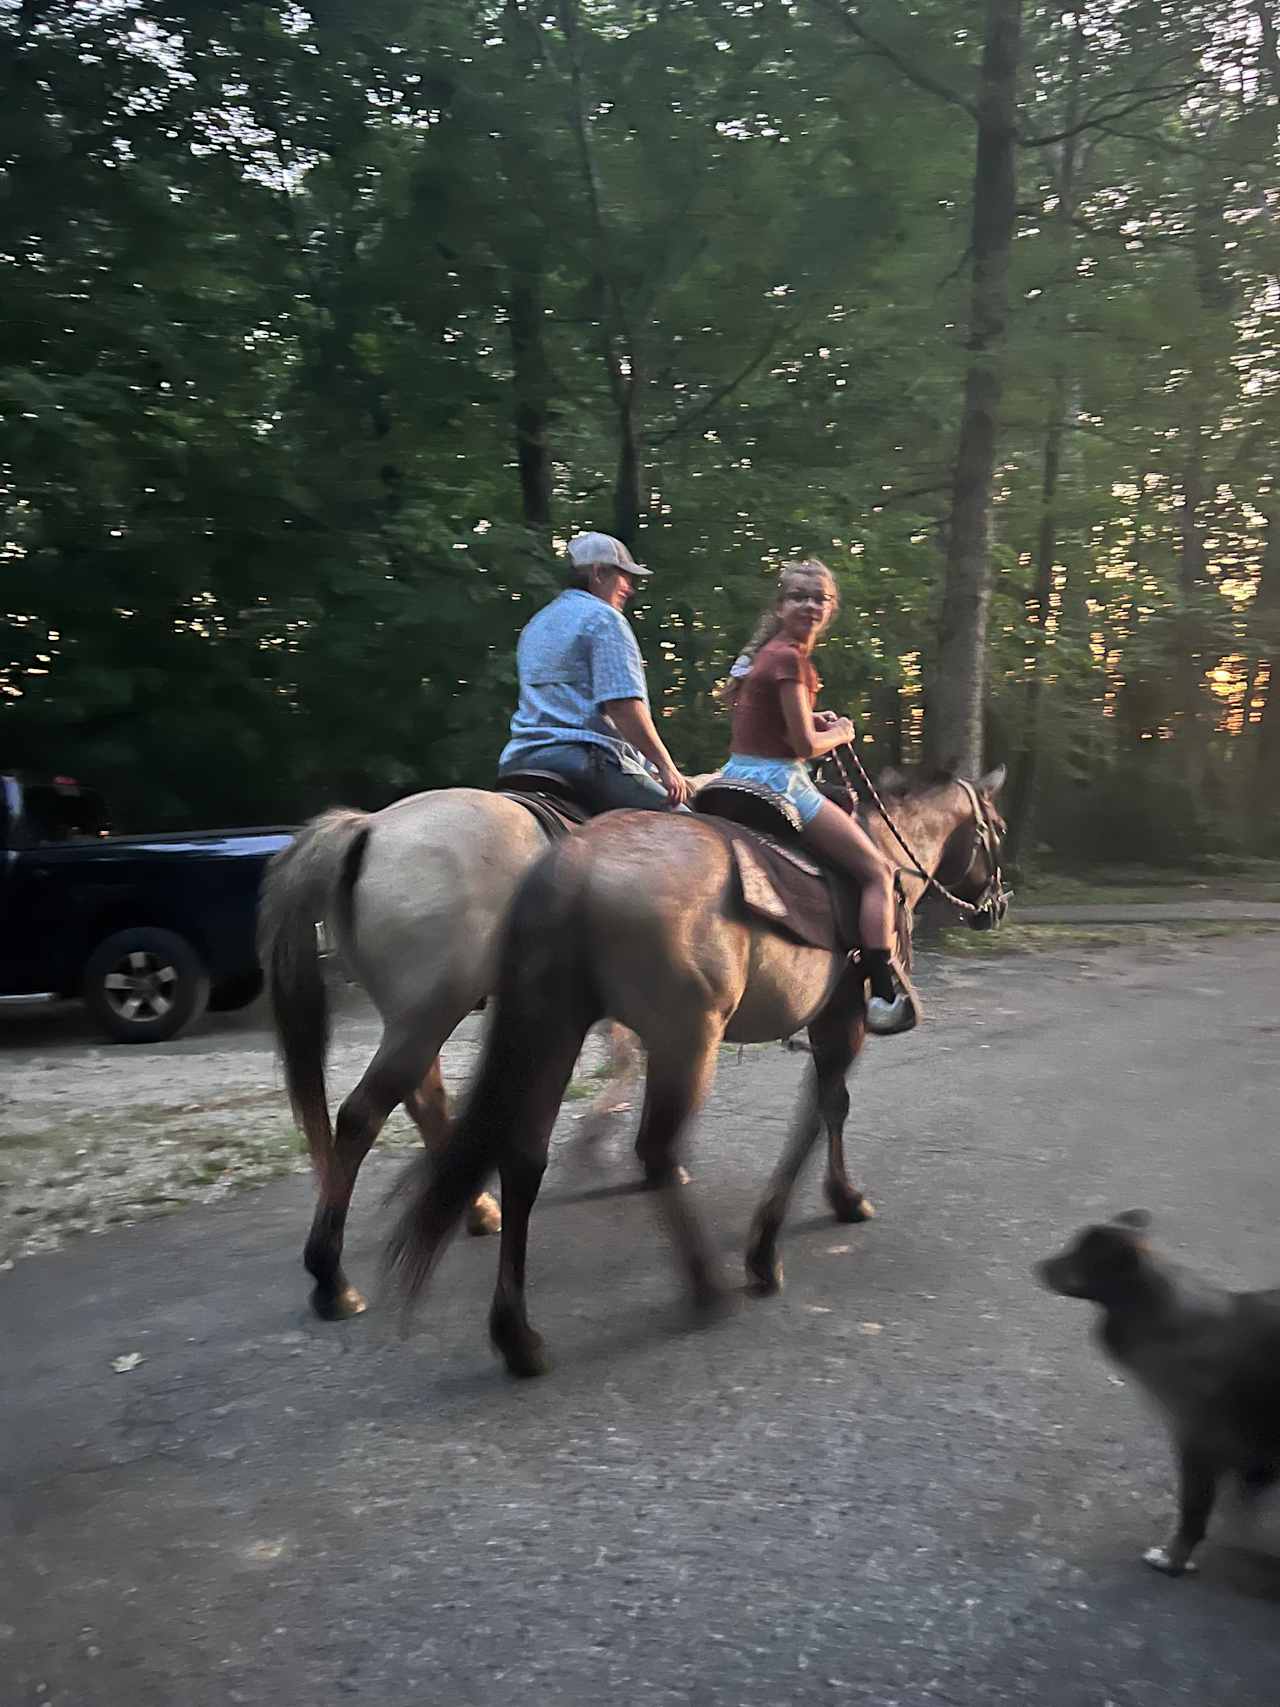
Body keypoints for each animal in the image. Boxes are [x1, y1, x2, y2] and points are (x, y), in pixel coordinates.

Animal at [385, 768, 1010, 1379]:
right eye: (997, 828)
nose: (998, 904)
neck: (886, 848)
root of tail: (575, 866)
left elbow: (827, 1109)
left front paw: (836, 1199)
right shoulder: (843, 1018)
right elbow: (826, 1109)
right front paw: (780, 1240)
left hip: (558, 1027)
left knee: (524, 1157)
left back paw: (517, 1334)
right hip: (687, 1038)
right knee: (657, 1148)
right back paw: (708, 1286)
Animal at [1044, 1215, 1280, 1570]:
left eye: (1077, 1259)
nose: (1038, 1266)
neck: (1163, 1320)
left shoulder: (1198, 1443)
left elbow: (1193, 1511)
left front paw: (1174, 1559)